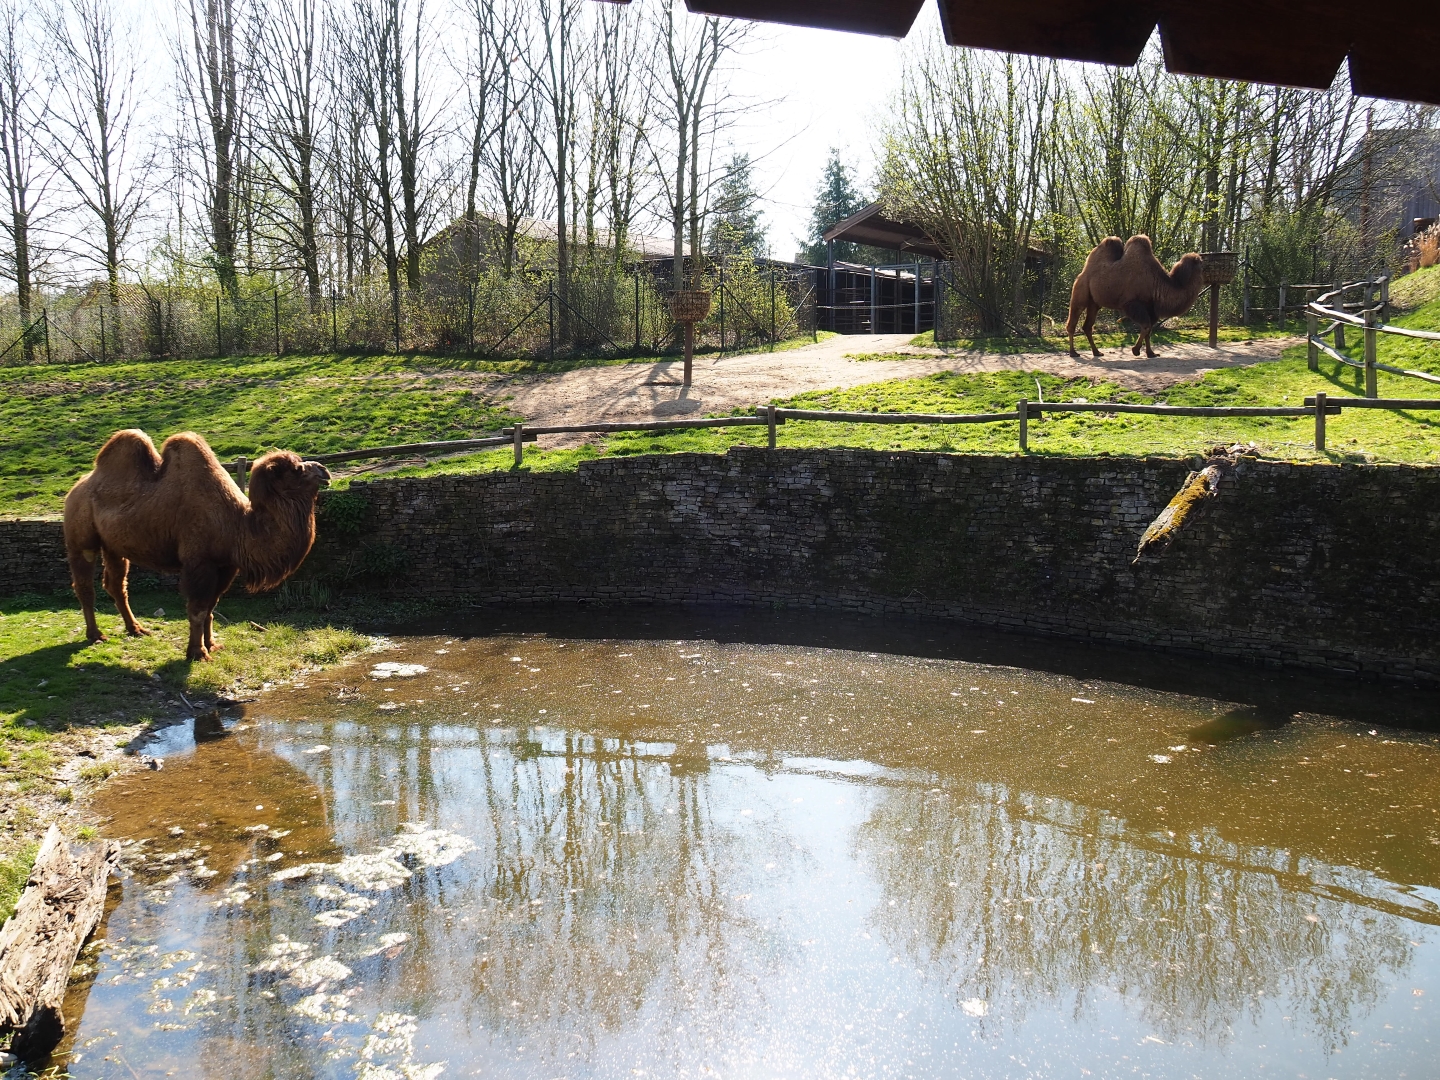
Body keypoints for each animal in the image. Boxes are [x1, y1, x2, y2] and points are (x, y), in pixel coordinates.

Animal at [64, 430, 330, 661]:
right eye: (297, 469)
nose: (324, 471)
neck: (236, 525)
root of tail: (75, 488)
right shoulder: (199, 562)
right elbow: (198, 609)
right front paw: (197, 653)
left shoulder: (225, 566)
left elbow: (211, 606)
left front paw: (212, 644)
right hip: (81, 539)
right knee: (84, 584)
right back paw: (96, 635)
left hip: (114, 546)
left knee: (116, 584)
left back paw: (136, 629)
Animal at [1066, 235, 1207, 359]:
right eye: (1201, 263)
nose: (1206, 261)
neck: (1157, 283)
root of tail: (1083, 272)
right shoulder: (1133, 304)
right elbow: (1146, 326)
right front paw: (1136, 350)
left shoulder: (1151, 308)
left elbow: (1149, 330)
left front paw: (1151, 353)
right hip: (1080, 292)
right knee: (1073, 320)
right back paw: (1073, 352)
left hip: (1094, 303)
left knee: (1087, 326)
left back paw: (1096, 352)